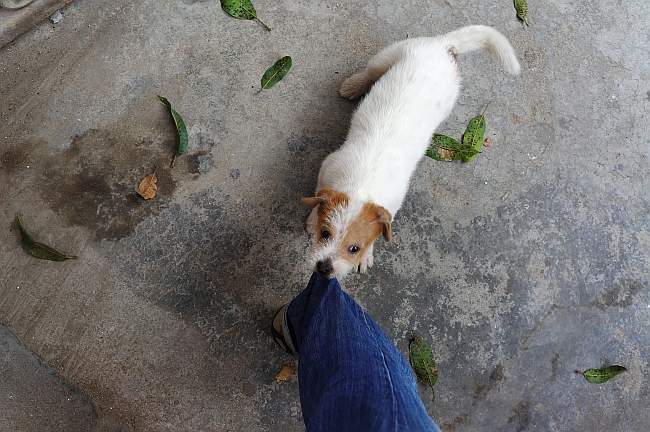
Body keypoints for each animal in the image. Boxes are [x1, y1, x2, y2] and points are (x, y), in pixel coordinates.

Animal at [298, 26, 516, 276]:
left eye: (354, 248)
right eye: (325, 233)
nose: (324, 267)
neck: (362, 186)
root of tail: (445, 46)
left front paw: (367, 255)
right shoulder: (328, 166)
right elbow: (318, 194)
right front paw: (313, 218)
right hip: (388, 56)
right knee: (370, 73)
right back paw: (354, 84)